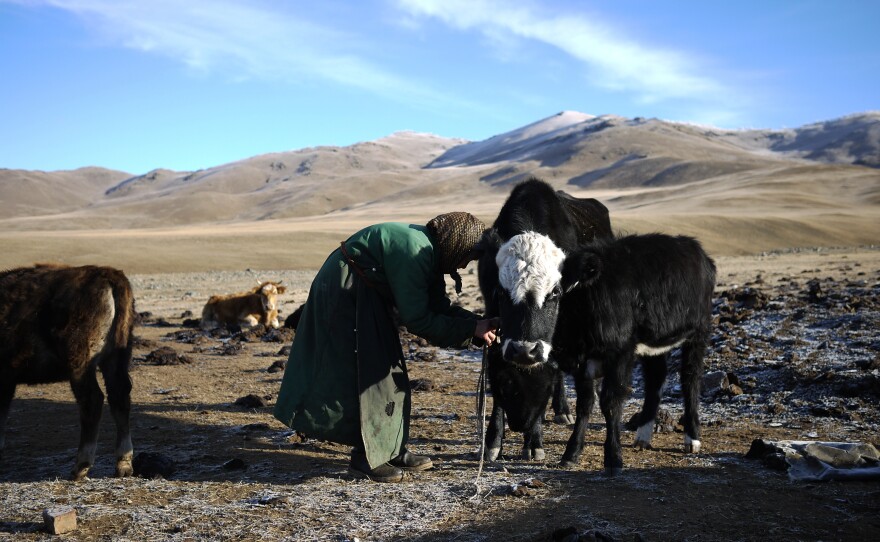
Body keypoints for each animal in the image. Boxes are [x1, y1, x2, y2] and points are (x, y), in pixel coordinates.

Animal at [0, 264, 135, 480]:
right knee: (119, 398)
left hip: (81, 363)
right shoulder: (7, 381)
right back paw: (123, 464)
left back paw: (80, 466)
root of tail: (108, 274)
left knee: (92, 401)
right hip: (115, 358)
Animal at [477, 178, 613, 461]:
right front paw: (493, 442)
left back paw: (562, 411)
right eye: (501, 292)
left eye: (555, 292)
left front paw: (534, 443)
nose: (524, 350)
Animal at [490, 229, 716, 475]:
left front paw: (614, 458)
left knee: (690, 378)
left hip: (699, 332)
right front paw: (571, 453)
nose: (524, 350)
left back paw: (692, 438)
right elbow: (585, 403)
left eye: (555, 292)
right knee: (656, 378)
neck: (586, 300)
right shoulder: (582, 361)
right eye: (501, 292)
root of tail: (692, 246)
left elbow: (611, 402)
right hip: (654, 344)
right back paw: (643, 435)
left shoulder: (621, 352)